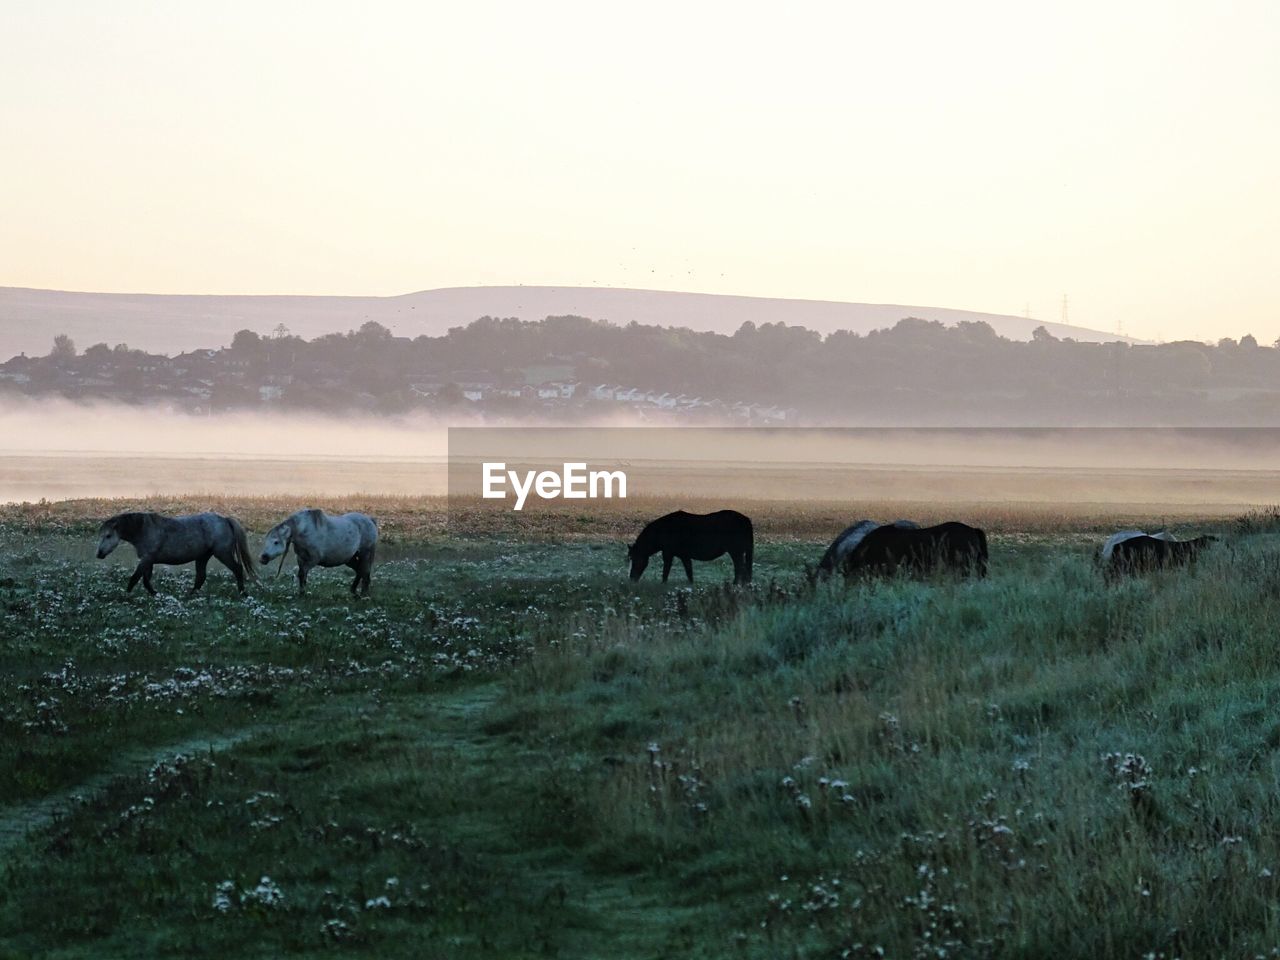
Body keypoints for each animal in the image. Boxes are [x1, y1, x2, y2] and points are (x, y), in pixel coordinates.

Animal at [95, 514, 257, 599]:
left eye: (108, 535)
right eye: (101, 535)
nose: (99, 554)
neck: (144, 529)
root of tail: (225, 519)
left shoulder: (146, 559)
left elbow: (135, 578)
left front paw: (126, 596)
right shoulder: (148, 561)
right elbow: (146, 580)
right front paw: (155, 594)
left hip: (222, 553)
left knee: (237, 569)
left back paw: (243, 593)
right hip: (203, 557)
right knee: (201, 577)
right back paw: (189, 595)